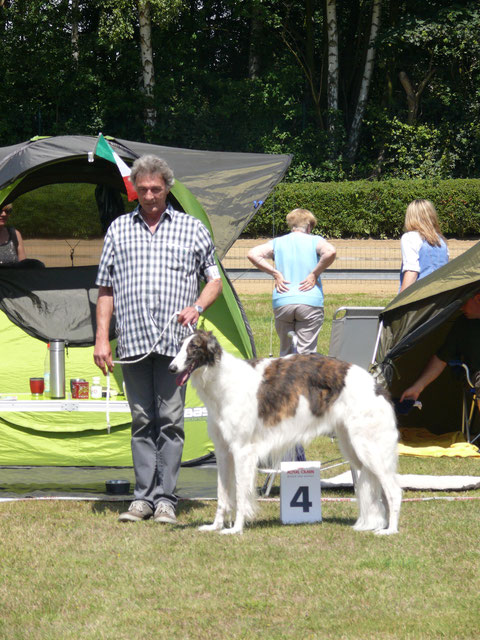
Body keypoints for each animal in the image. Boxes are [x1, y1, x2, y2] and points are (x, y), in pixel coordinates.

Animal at [170, 330, 402, 536]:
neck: (222, 380)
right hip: (353, 447)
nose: (171, 368)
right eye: (179, 345)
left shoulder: (242, 450)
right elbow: (222, 495)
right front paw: (215, 527)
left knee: (394, 489)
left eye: (193, 347)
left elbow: (241, 494)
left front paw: (236, 529)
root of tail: (377, 386)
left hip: (370, 448)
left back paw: (390, 530)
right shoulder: (223, 451)